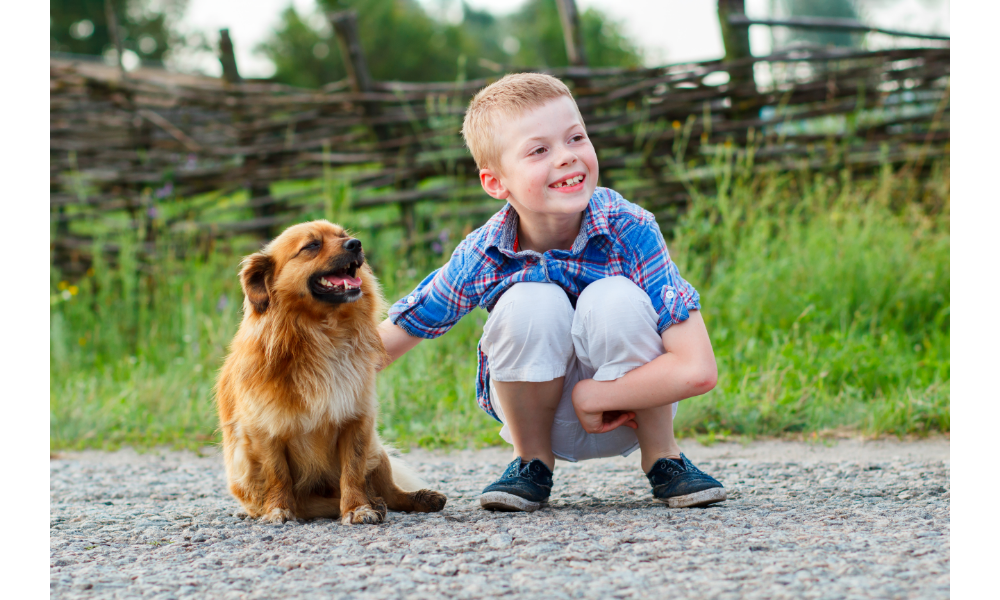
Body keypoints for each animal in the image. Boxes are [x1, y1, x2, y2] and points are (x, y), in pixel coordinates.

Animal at [217, 221, 448, 524]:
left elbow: (352, 472)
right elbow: (278, 475)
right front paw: (278, 510)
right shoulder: (265, 430)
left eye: (343, 236)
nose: (356, 244)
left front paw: (357, 508)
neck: (323, 334)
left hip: (378, 451)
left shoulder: (357, 421)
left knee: (391, 492)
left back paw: (413, 499)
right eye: (312, 245)